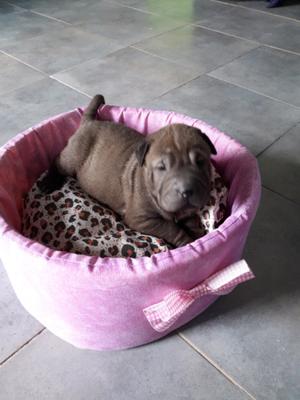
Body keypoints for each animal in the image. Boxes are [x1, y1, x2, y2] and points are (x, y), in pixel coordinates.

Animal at [41, 95, 217, 248]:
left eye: (201, 162)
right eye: (162, 167)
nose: (187, 190)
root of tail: (89, 121)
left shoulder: (187, 211)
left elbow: (191, 221)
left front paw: (198, 236)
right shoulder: (141, 219)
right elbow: (170, 228)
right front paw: (186, 242)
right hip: (73, 156)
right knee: (57, 161)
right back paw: (48, 183)